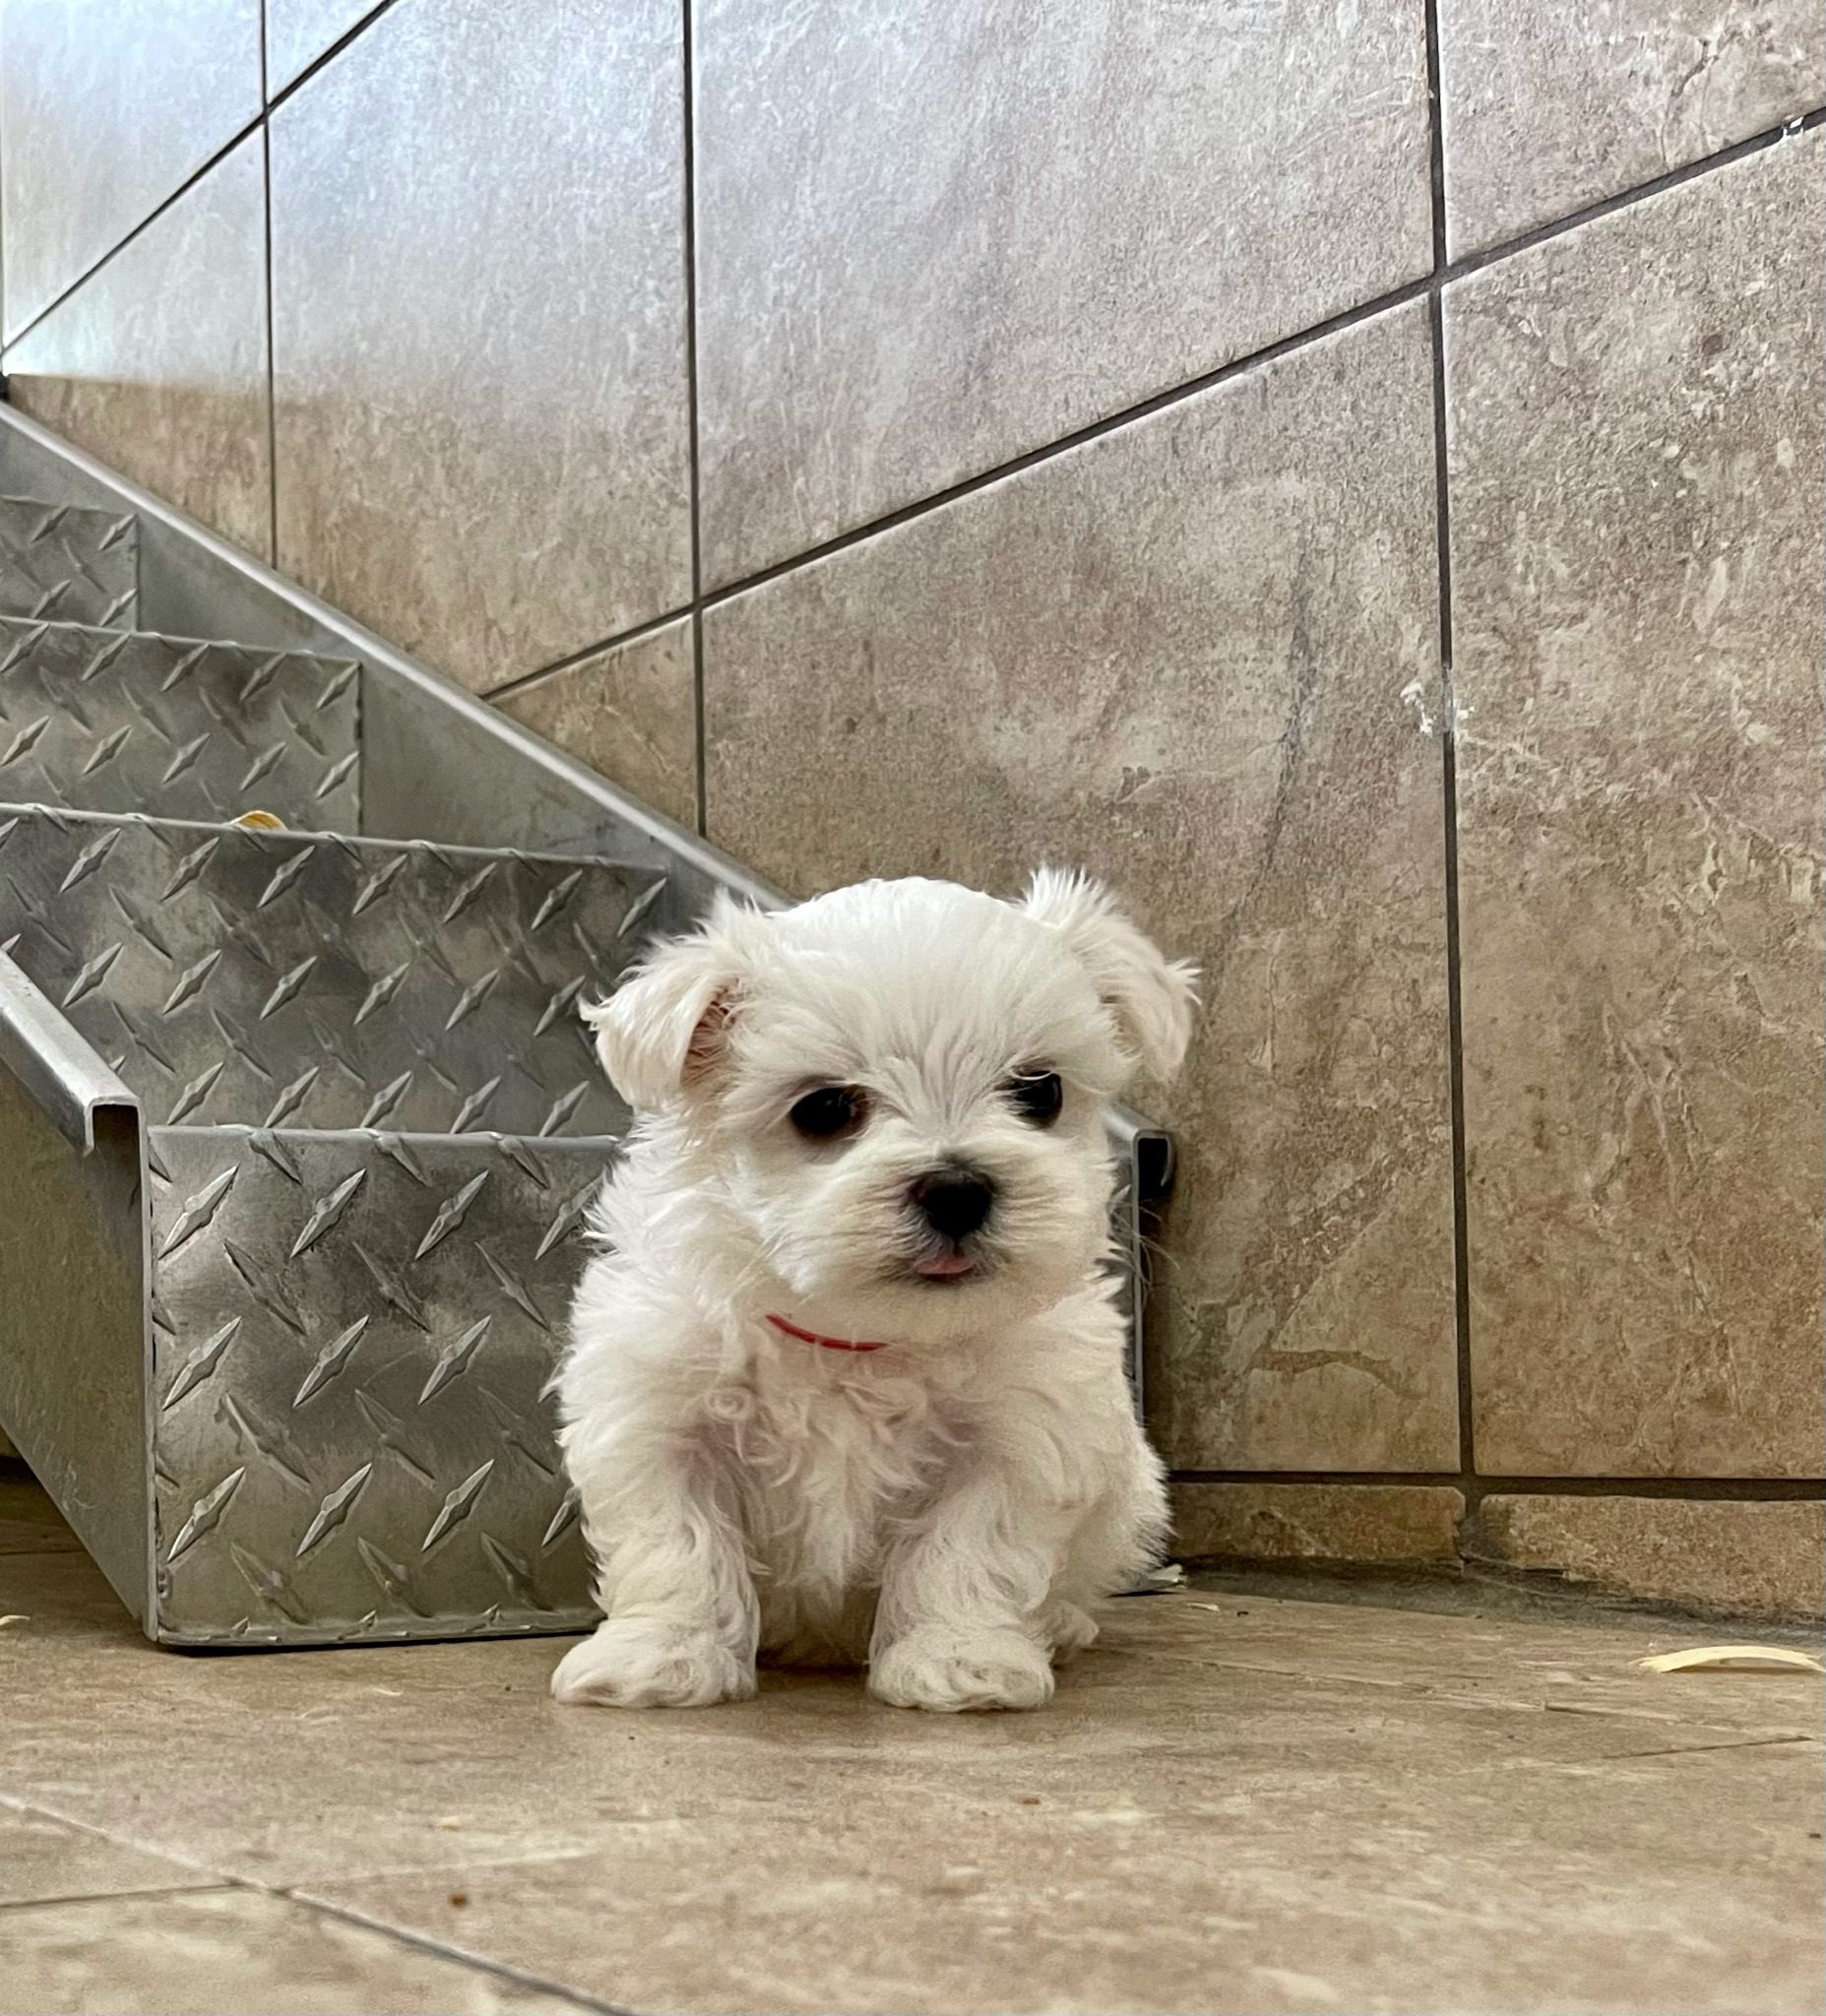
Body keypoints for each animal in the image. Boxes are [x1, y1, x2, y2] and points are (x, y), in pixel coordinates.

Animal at [547, 870, 1184, 1717]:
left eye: (1039, 1091)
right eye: (822, 1108)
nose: (957, 1189)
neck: (861, 1336)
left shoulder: (1017, 1436)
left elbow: (967, 1549)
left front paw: (959, 1659)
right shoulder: (658, 1415)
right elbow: (675, 1545)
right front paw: (661, 1656)